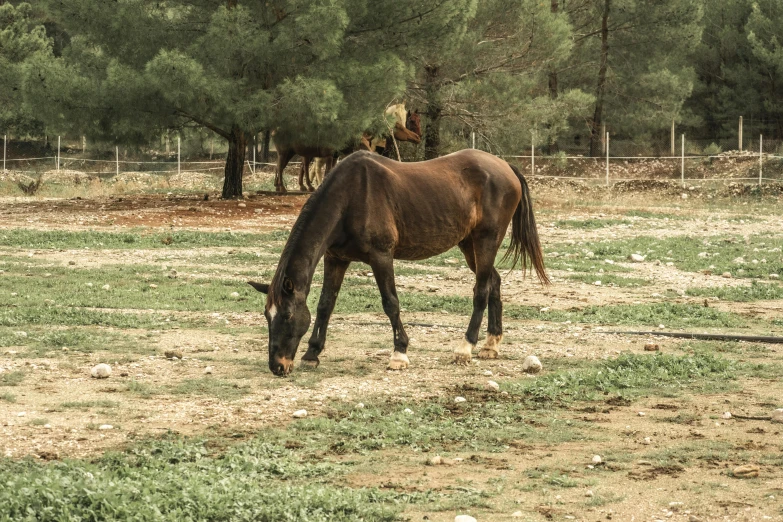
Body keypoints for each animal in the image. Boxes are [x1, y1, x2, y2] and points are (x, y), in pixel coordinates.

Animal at [248, 147, 548, 374]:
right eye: (266, 315)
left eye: (287, 315)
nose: (277, 366)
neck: (350, 197)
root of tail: (505, 166)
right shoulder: (336, 259)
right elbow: (325, 306)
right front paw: (312, 353)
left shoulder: (381, 256)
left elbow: (390, 303)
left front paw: (399, 353)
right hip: (468, 245)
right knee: (494, 282)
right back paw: (491, 345)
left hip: (486, 241)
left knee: (482, 290)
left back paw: (466, 348)